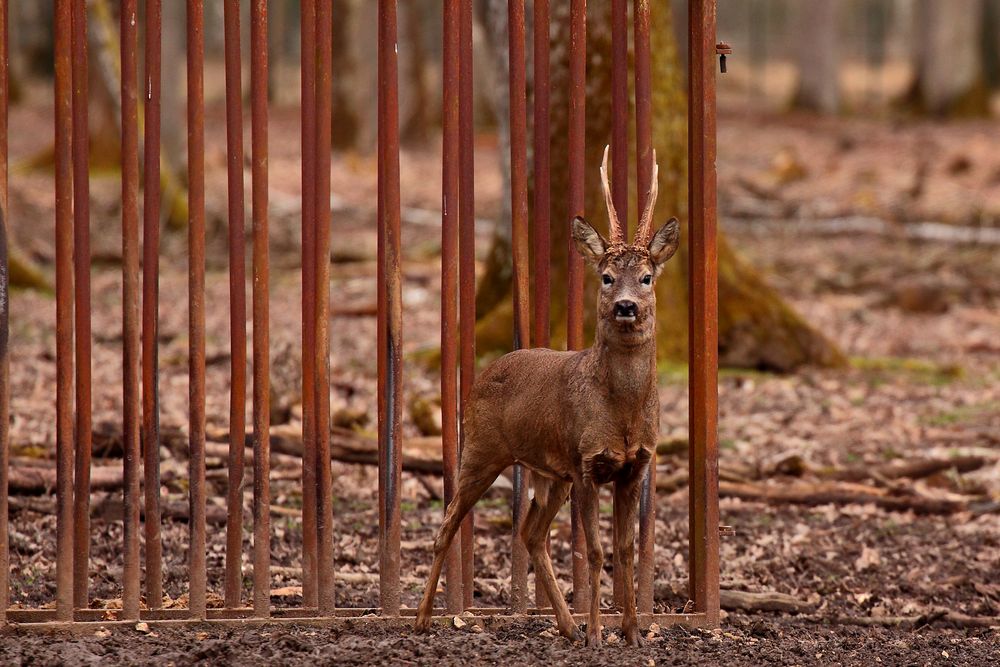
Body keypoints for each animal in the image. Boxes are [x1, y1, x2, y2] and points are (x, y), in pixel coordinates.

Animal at [414, 146, 680, 648]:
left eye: (648, 277)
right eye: (607, 277)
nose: (626, 307)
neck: (622, 413)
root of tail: (483, 373)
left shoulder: (634, 466)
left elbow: (626, 549)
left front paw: (632, 633)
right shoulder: (586, 462)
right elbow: (595, 552)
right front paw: (599, 635)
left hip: (549, 473)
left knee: (530, 533)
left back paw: (567, 626)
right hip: (480, 450)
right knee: (448, 525)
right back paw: (420, 620)